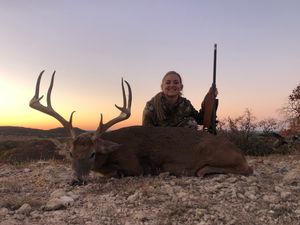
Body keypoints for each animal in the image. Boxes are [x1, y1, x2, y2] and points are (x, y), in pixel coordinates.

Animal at [29, 71, 253, 185]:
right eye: (70, 153)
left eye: (93, 153)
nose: (76, 180)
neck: (113, 150)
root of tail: (238, 150)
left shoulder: (134, 166)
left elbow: (115, 173)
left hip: (214, 152)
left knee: (246, 169)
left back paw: (202, 170)